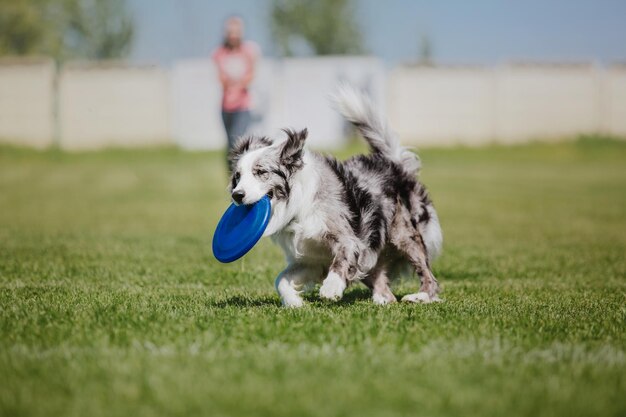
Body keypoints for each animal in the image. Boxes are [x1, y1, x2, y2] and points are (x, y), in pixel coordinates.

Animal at [227, 85, 442, 306]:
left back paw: (421, 296)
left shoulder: (349, 239)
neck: (299, 205)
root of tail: (396, 165)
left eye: (260, 172)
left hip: (404, 236)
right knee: (385, 288)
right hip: (371, 254)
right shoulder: (310, 259)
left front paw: (331, 288)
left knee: (429, 275)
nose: (237, 195)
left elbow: (341, 260)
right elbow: (281, 279)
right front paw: (294, 302)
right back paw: (382, 299)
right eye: (238, 176)